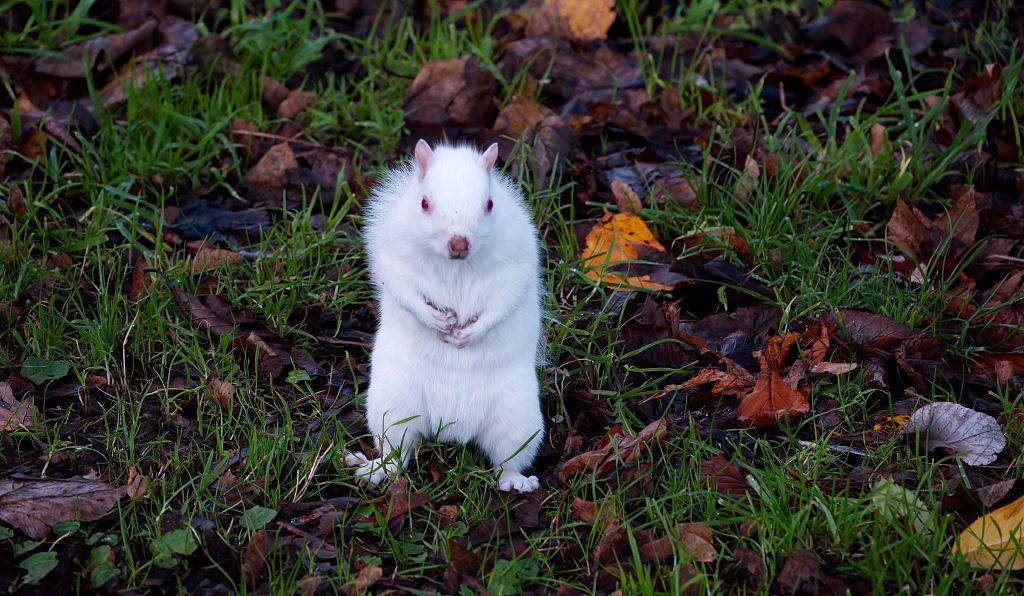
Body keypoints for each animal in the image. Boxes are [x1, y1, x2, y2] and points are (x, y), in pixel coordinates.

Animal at [344, 140, 548, 495]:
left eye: (489, 204)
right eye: (424, 203)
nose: (459, 244)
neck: (455, 266)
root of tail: (451, 426)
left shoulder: (516, 264)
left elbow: (504, 301)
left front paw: (469, 333)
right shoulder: (394, 258)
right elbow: (402, 289)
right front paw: (435, 320)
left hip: (518, 419)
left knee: (506, 460)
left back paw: (516, 481)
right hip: (393, 405)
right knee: (397, 451)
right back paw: (377, 470)